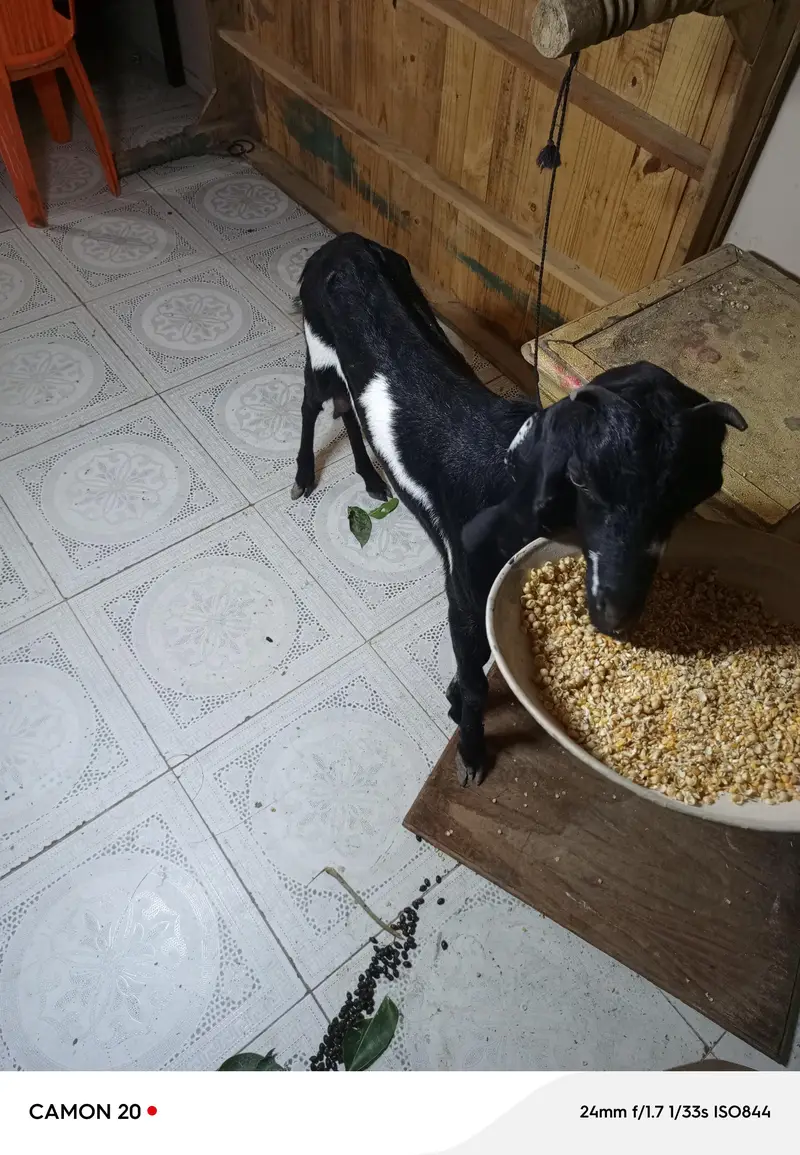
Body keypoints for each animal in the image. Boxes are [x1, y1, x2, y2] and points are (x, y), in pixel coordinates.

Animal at [293, 233, 747, 786]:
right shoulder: (464, 588)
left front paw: (453, 702)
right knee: (314, 402)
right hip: (318, 347)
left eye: (686, 496)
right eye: (579, 476)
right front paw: (471, 753)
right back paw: (303, 476)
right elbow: (475, 677)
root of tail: (343, 243)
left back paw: (371, 478)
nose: (615, 614)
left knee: (346, 408)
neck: (509, 475)